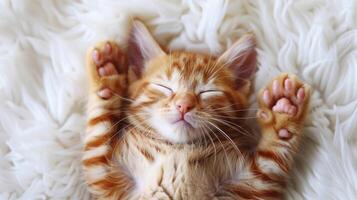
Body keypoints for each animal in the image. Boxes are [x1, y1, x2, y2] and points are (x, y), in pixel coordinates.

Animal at [82, 20, 308, 200]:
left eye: (208, 91)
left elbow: (272, 160)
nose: (184, 105)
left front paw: (285, 110)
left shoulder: (256, 185)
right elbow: (98, 131)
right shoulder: (102, 172)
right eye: (165, 87)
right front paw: (107, 73)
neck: (178, 149)